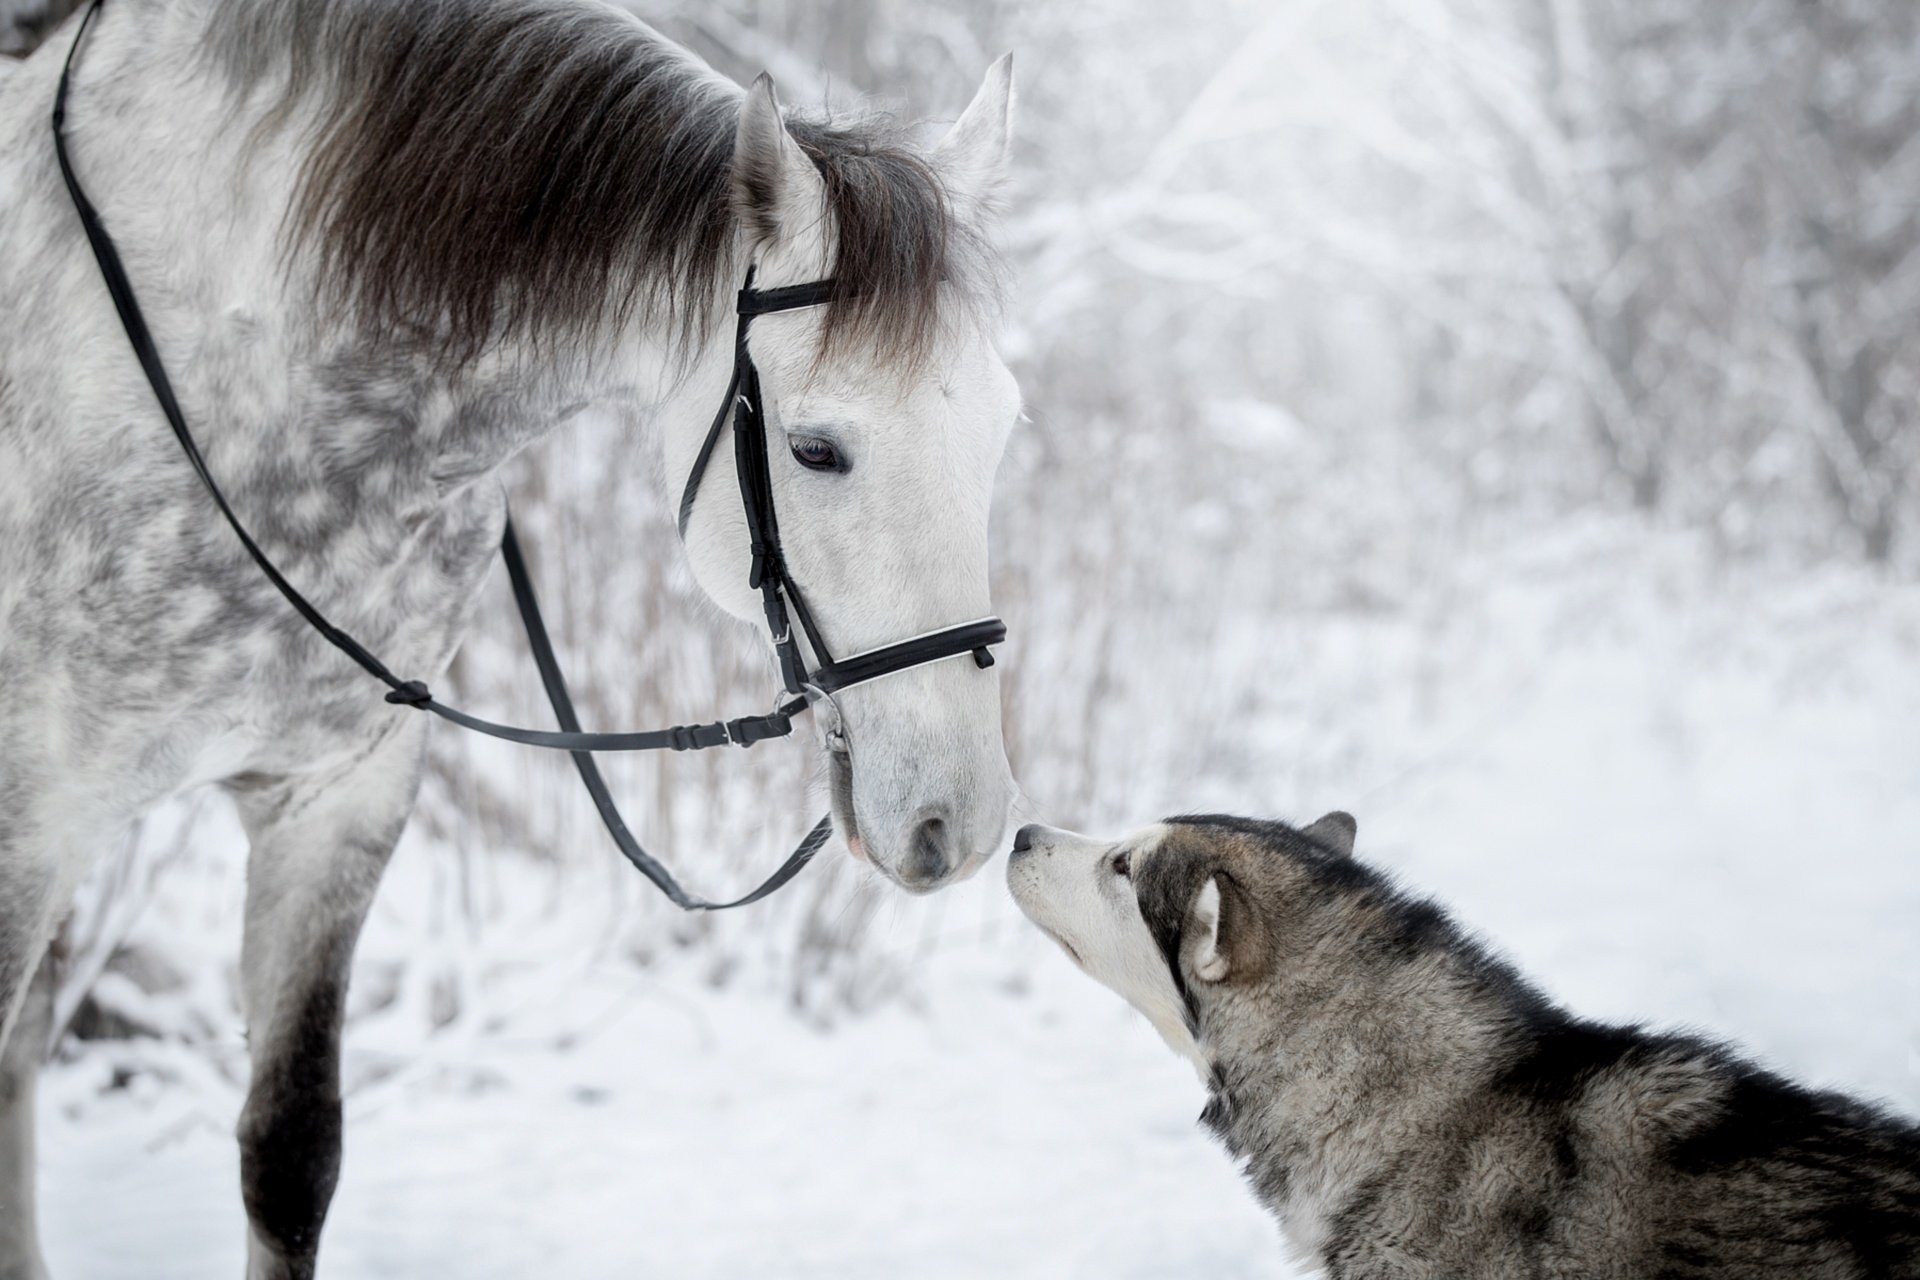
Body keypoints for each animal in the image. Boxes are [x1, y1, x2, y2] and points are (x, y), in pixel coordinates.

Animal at [0, 2, 1021, 1274]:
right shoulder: (29, 823)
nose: (958, 821)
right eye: (817, 448)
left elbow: (290, 1155)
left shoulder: (334, 803)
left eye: (1004, 427)